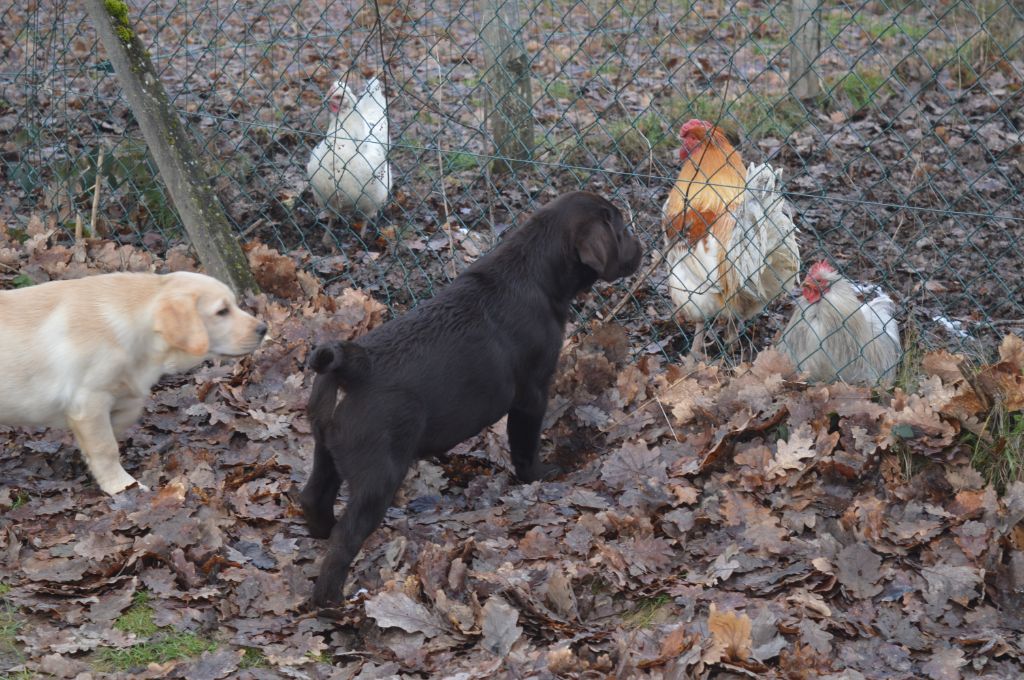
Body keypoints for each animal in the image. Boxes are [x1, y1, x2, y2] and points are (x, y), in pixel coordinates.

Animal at [1, 270, 264, 493]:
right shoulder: (88, 401)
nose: (264, 328)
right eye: (222, 311)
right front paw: (121, 486)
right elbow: (105, 447)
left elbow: (124, 418)